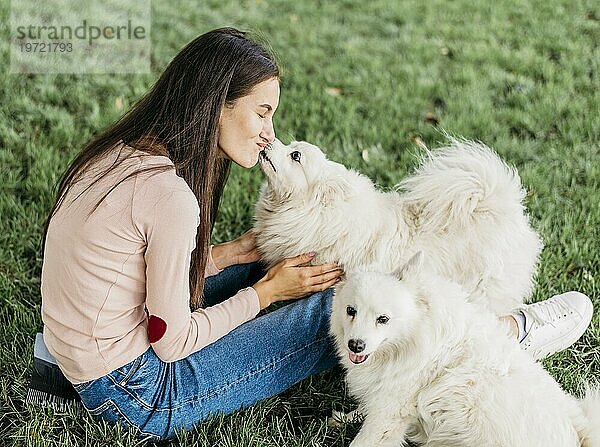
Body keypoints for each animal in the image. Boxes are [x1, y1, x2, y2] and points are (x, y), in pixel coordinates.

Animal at [330, 252, 596, 447]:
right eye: (351, 311)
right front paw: (345, 418)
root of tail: (578, 432)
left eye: (383, 319)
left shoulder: (391, 411)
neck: (416, 333)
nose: (355, 345)